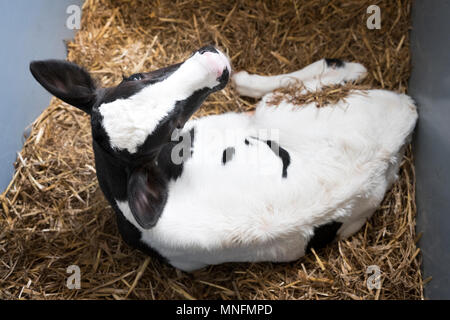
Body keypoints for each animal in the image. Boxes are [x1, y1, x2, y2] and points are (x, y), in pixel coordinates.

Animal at [29, 44, 418, 270]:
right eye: (173, 126)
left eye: (137, 75)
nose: (213, 65)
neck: (120, 196)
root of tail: (403, 117)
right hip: (278, 112)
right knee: (281, 88)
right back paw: (346, 68)